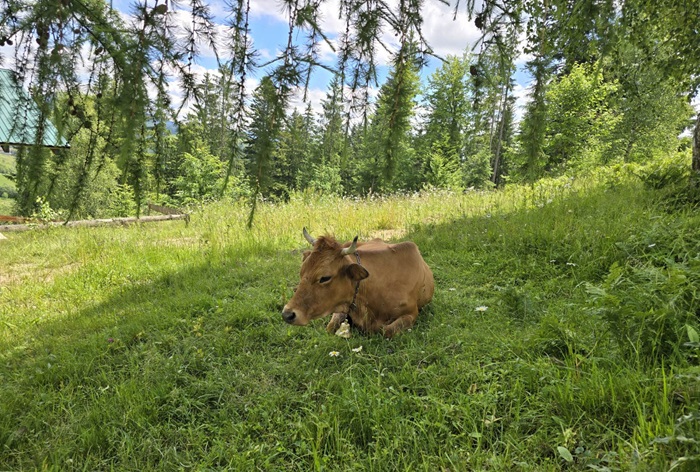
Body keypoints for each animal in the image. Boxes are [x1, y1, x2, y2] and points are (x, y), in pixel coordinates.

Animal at [280, 228, 432, 336]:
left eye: (325, 278)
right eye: (301, 272)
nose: (287, 314)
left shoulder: (411, 313)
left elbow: (386, 331)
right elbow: (330, 326)